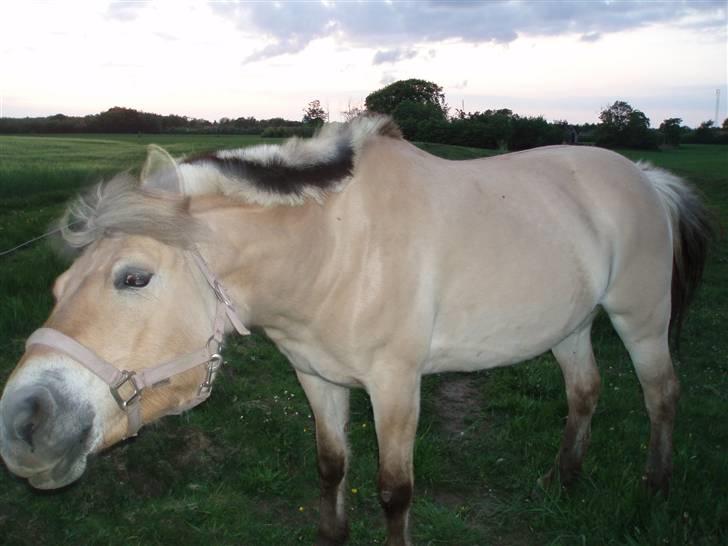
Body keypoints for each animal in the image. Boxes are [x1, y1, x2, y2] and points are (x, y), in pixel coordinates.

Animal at [0, 116, 712, 544]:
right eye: (58, 288)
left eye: (134, 278)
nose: (23, 421)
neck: (337, 247)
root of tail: (645, 176)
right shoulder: (316, 378)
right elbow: (330, 466)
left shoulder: (396, 387)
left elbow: (394, 491)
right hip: (569, 325)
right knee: (584, 392)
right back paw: (561, 479)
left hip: (640, 320)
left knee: (661, 396)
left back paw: (654, 489)